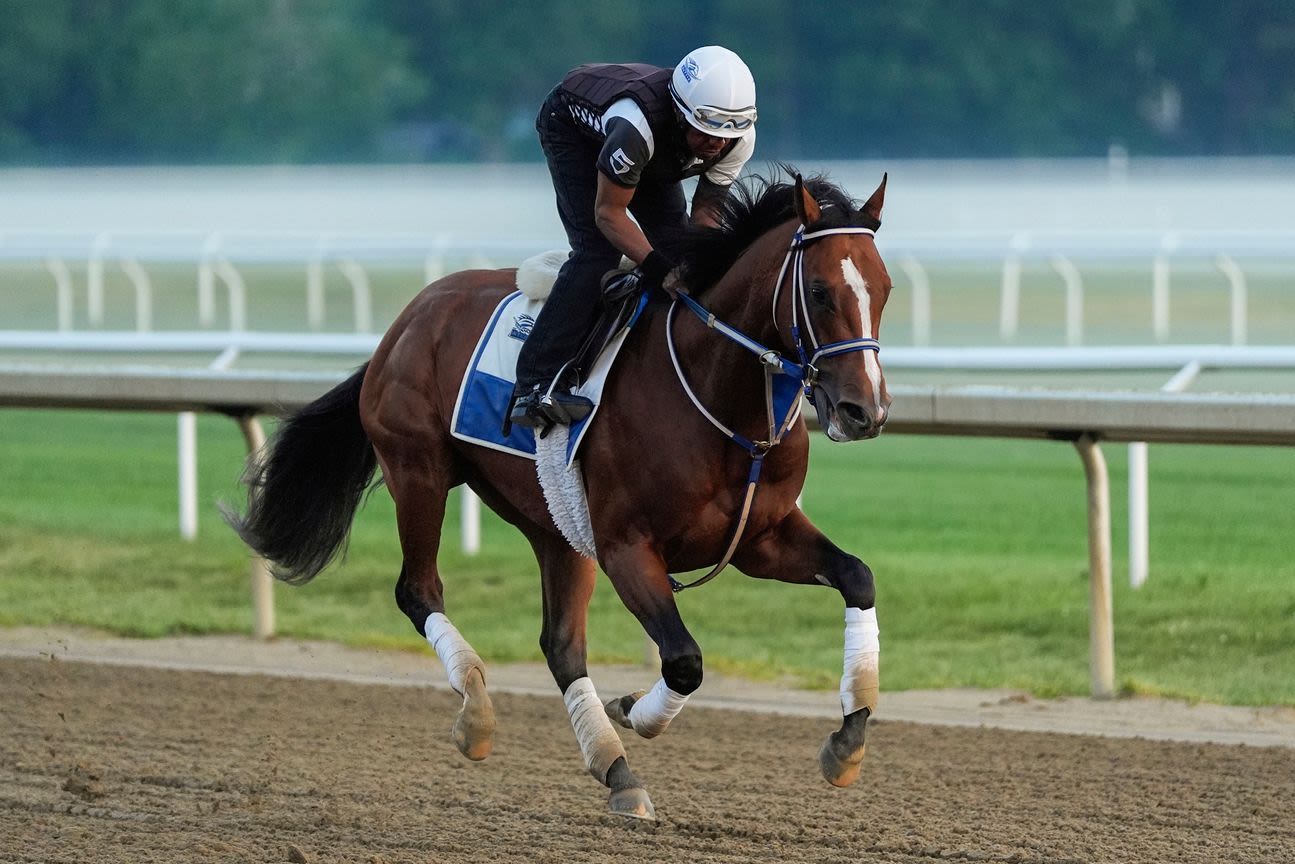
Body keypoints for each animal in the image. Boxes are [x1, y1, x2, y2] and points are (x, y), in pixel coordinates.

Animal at [230, 167, 890, 818]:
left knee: (561, 646)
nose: (865, 410)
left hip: (555, 525)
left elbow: (857, 577)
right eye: (821, 292)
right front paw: (635, 710)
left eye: (882, 290)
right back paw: (477, 713)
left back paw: (615, 767)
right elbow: (684, 660)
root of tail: (407, 319)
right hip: (417, 471)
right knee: (418, 591)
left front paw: (848, 740)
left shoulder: (760, 538)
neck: (720, 399)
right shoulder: (627, 547)